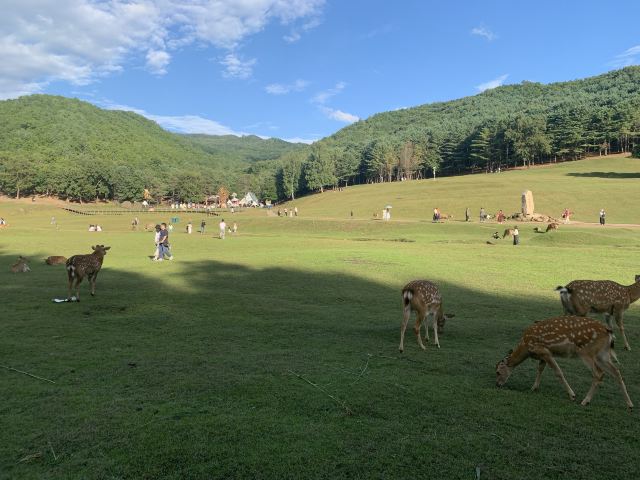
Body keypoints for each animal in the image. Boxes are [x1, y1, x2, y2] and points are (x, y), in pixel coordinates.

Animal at [495, 315, 633, 410]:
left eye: (497, 372)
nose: (497, 384)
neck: (526, 347)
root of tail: (609, 333)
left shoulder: (544, 351)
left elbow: (558, 372)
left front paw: (572, 395)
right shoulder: (543, 353)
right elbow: (540, 368)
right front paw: (534, 387)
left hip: (586, 351)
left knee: (599, 373)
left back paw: (585, 401)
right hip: (603, 354)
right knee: (616, 371)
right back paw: (630, 405)